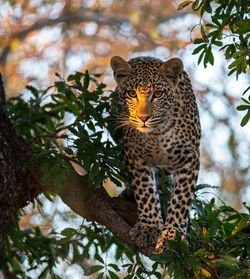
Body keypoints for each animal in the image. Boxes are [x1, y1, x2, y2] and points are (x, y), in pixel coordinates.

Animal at [110, 55, 200, 255]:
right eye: (132, 94)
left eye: (158, 94)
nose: (143, 118)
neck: (156, 133)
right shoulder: (135, 156)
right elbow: (145, 192)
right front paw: (149, 228)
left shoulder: (189, 158)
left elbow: (181, 200)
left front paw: (172, 236)